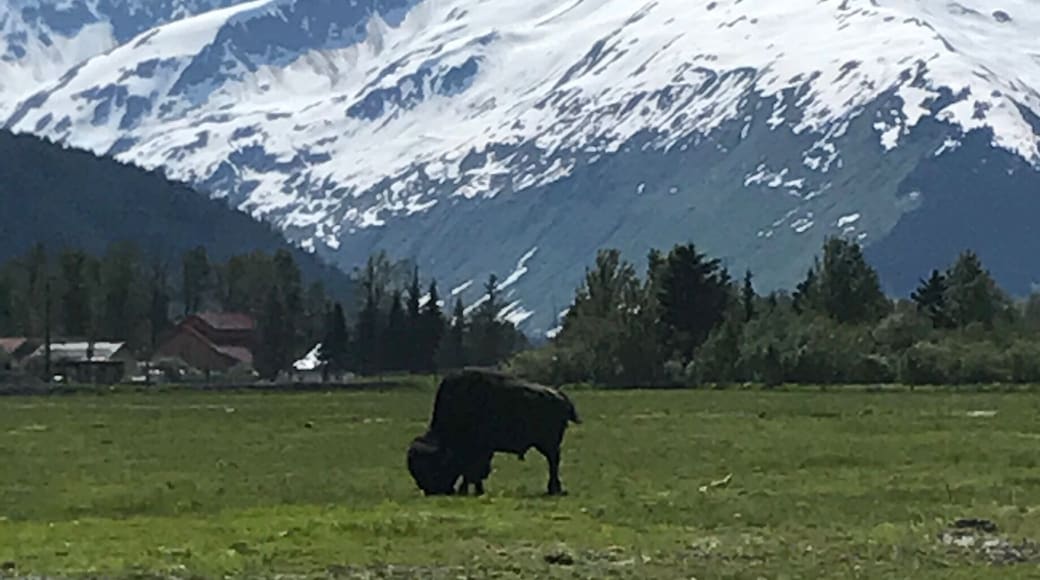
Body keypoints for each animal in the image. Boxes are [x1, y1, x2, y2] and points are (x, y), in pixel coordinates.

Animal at [407, 368, 581, 496]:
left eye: (433, 468)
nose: (432, 492)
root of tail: (560, 396)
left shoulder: (479, 451)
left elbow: (472, 471)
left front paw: (469, 490)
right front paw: (474, 490)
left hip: (548, 444)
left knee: (553, 462)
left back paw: (553, 489)